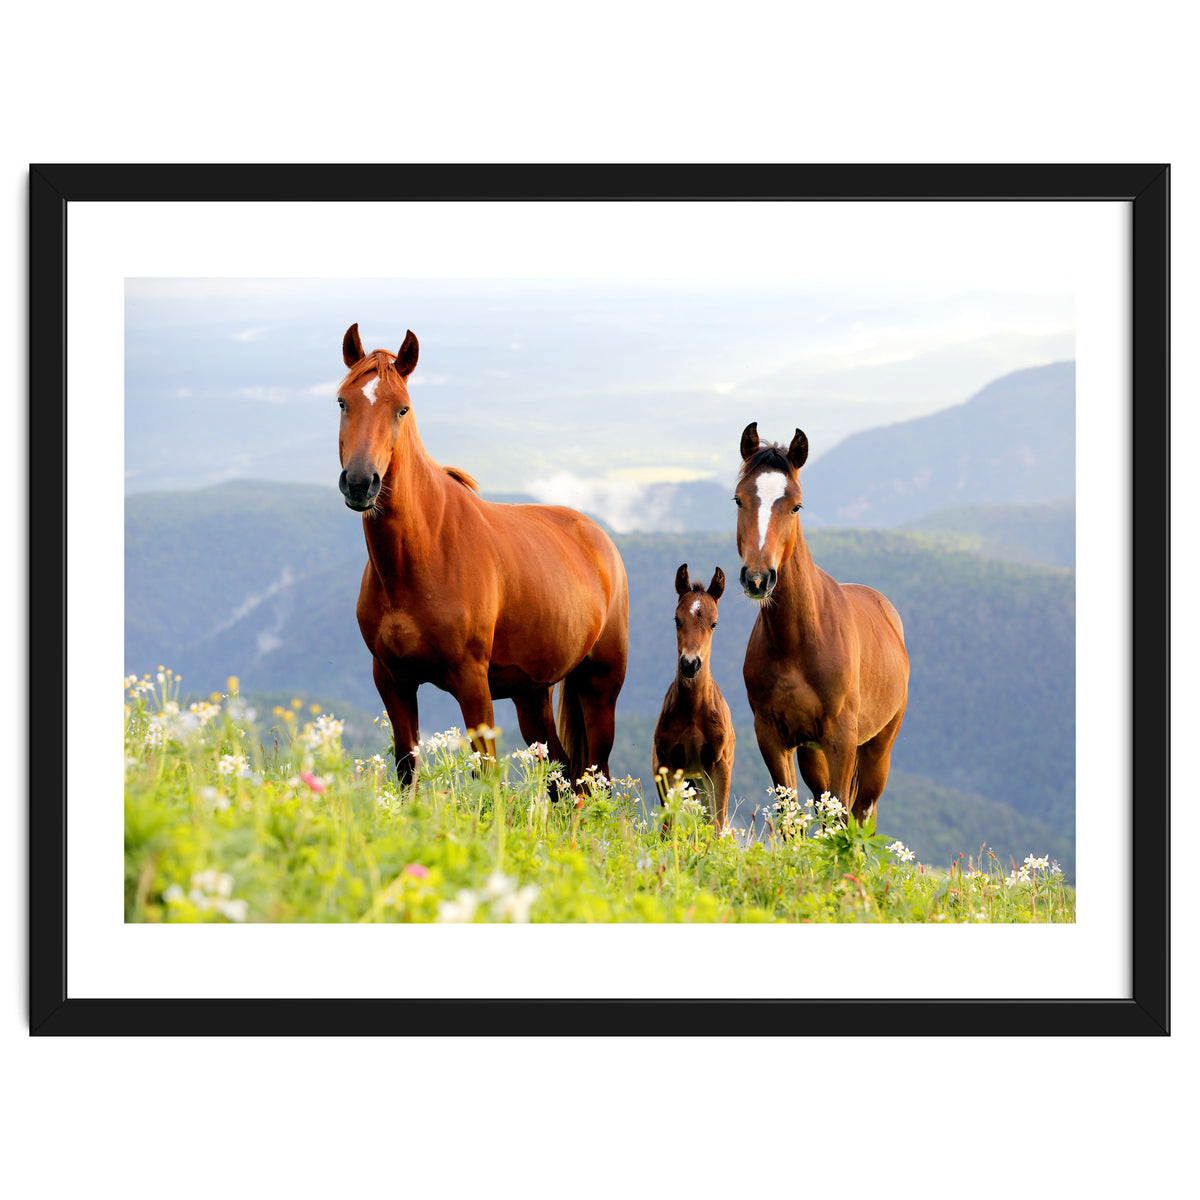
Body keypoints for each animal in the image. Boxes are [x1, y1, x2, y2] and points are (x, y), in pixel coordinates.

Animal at [336, 323, 629, 787]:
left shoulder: (472, 681)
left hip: (600, 686)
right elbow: (406, 768)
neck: (420, 557)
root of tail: (600, 539)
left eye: (401, 409)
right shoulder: (392, 679)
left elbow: (487, 776)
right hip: (532, 694)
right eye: (343, 401)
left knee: (593, 777)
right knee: (561, 773)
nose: (361, 483)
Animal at [651, 565, 736, 829]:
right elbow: (668, 825)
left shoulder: (719, 765)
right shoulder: (667, 764)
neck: (693, 711)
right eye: (677, 619)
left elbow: (718, 823)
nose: (690, 663)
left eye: (714, 623)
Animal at [734, 423, 909, 822]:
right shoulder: (773, 737)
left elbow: (843, 814)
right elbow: (790, 815)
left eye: (796, 505)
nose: (758, 578)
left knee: (862, 811)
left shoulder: (841, 737)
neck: (798, 641)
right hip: (812, 753)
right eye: (739, 500)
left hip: (878, 747)